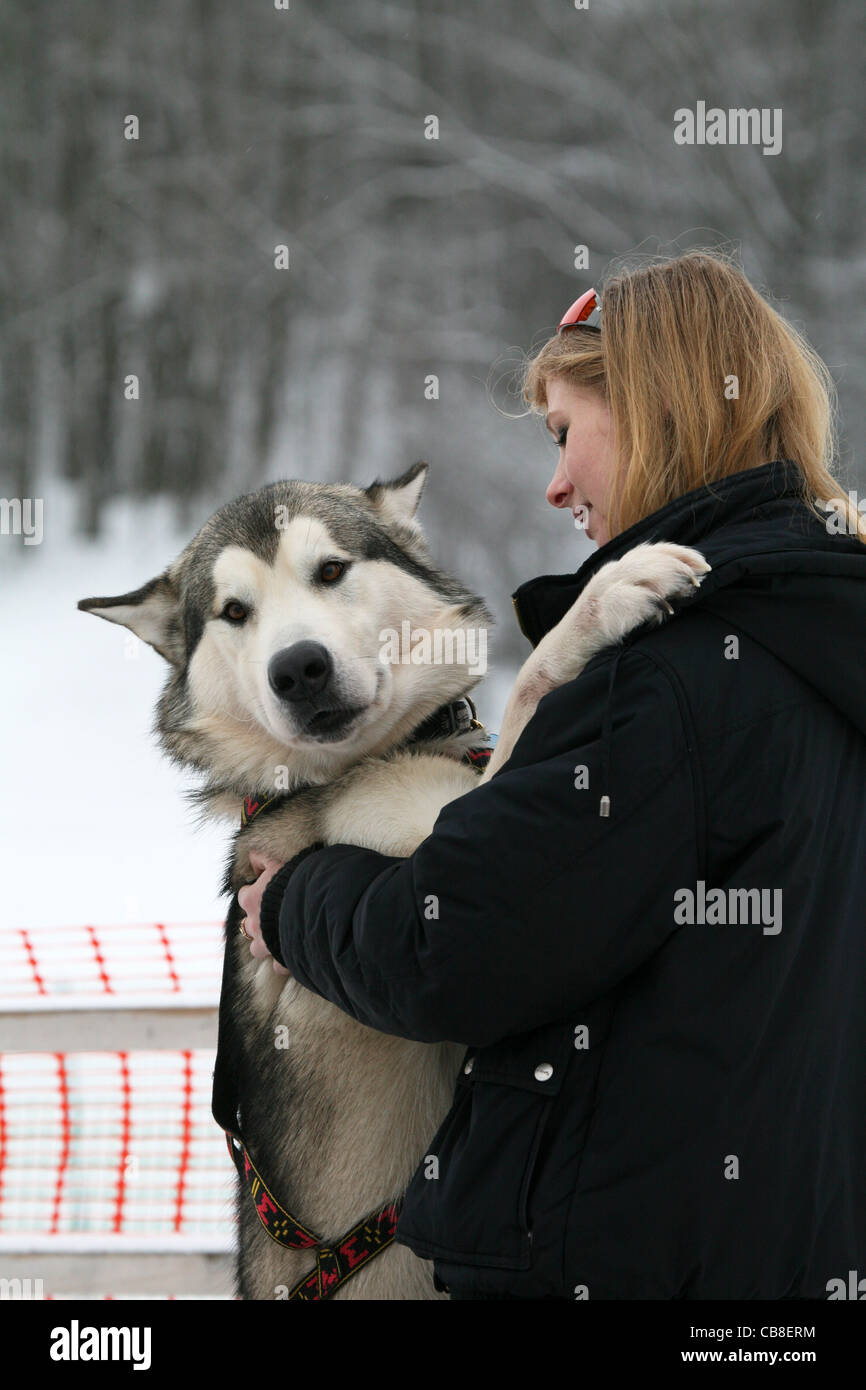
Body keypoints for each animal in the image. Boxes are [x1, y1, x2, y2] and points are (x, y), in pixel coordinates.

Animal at [77, 461, 708, 1295]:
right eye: (234, 612)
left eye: (331, 571)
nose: (298, 668)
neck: (376, 758)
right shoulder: (427, 866)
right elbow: (533, 684)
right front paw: (609, 592)